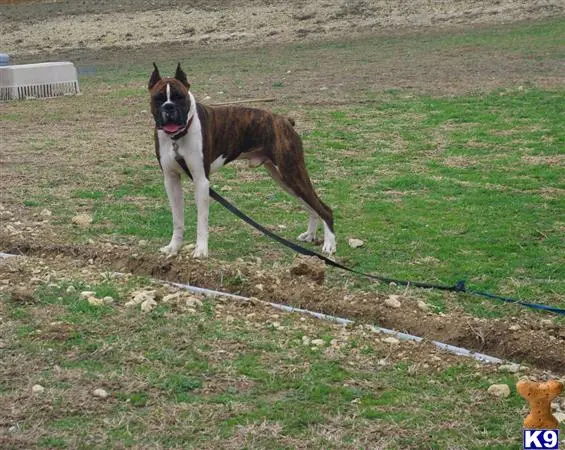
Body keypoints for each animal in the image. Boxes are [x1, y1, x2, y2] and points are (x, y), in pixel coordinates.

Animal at [150, 64, 334, 258]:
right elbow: (177, 219)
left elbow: (202, 221)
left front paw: (201, 250)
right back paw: (310, 235)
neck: (177, 138)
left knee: (323, 209)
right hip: (285, 179)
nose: (169, 107)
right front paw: (173, 247)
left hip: (292, 172)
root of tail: (284, 120)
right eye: (158, 98)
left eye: (179, 97)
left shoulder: (201, 181)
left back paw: (329, 245)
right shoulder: (171, 180)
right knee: (311, 207)